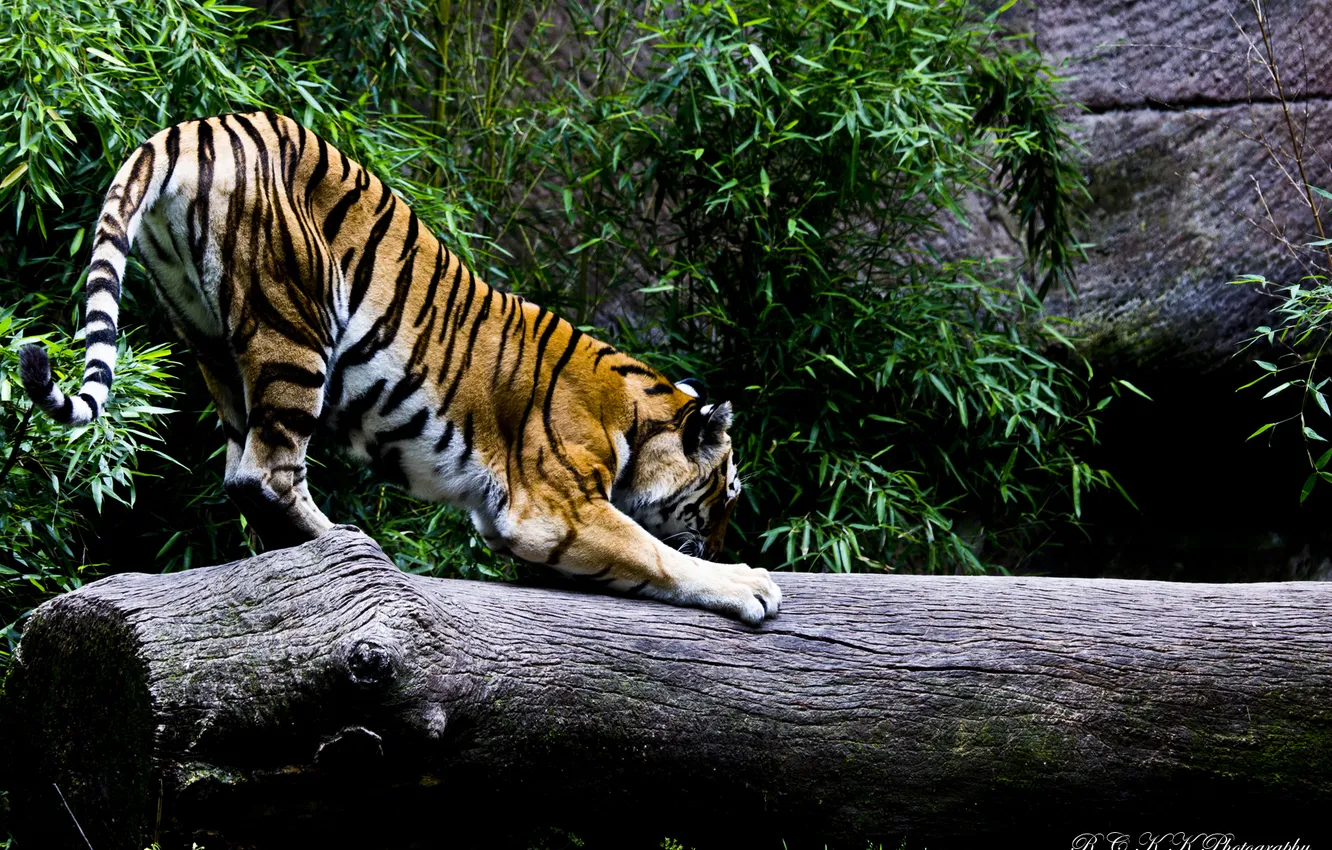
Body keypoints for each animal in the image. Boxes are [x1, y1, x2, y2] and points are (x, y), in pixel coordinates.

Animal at [19, 112, 781, 625]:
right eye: (726, 494)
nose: (723, 538)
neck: (635, 418)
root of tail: (190, 128)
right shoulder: (551, 510)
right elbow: (654, 552)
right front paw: (750, 583)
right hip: (295, 321)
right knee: (263, 472)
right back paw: (350, 544)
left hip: (210, 337)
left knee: (242, 467)